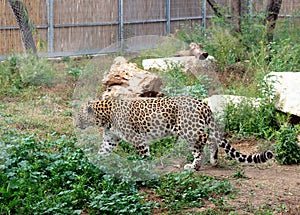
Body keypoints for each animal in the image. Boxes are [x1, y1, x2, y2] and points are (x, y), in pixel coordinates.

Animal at [74, 96, 272, 170]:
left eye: (79, 116)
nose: (75, 124)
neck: (103, 116)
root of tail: (202, 102)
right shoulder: (111, 139)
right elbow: (102, 151)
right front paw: (93, 164)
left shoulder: (137, 139)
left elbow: (143, 155)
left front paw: (144, 168)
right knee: (211, 140)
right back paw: (213, 160)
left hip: (189, 130)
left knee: (205, 141)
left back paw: (195, 166)